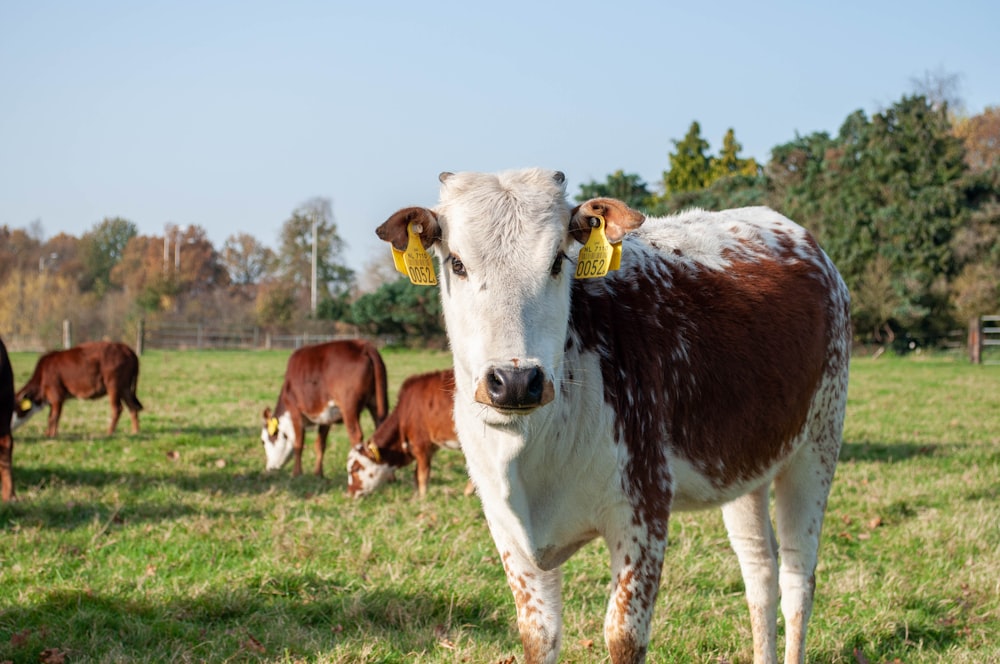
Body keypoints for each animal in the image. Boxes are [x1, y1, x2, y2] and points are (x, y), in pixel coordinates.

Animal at [14, 340, 145, 438]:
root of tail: (128, 350)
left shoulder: (56, 395)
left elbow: (54, 417)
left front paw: (52, 435)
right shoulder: (52, 398)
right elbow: (51, 416)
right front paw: (47, 433)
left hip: (113, 384)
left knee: (117, 408)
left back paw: (109, 432)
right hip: (125, 387)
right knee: (132, 407)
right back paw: (135, 431)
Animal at [260, 342, 388, 478]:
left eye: (263, 441)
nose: (269, 469)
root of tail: (362, 346)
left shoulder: (295, 410)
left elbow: (298, 444)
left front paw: (296, 473)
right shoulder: (326, 416)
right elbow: (320, 444)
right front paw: (318, 473)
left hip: (349, 408)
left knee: (356, 436)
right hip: (377, 403)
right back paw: (390, 477)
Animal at [348, 368, 464, 498]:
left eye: (355, 469)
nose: (349, 493)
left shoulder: (421, 444)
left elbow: (422, 475)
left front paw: (422, 498)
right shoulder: (428, 447)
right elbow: (416, 474)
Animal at [376, 170, 852, 664]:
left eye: (557, 261)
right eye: (457, 263)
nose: (515, 380)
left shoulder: (643, 509)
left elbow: (623, 636)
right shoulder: (508, 529)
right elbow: (538, 636)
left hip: (817, 444)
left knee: (798, 574)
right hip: (745, 462)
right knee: (759, 568)